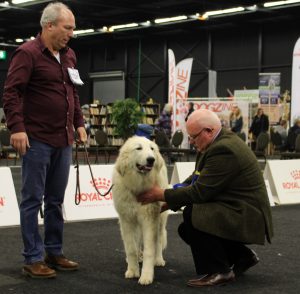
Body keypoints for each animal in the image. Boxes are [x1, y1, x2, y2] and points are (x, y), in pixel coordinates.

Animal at [112, 136, 169, 284]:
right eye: (138, 148)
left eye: (152, 148)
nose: (151, 159)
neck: (138, 185)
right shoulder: (126, 220)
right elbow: (131, 247)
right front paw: (132, 270)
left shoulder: (149, 219)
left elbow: (149, 249)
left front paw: (146, 276)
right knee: (137, 241)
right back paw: (138, 258)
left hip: (160, 220)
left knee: (159, 240)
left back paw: (158, 259)